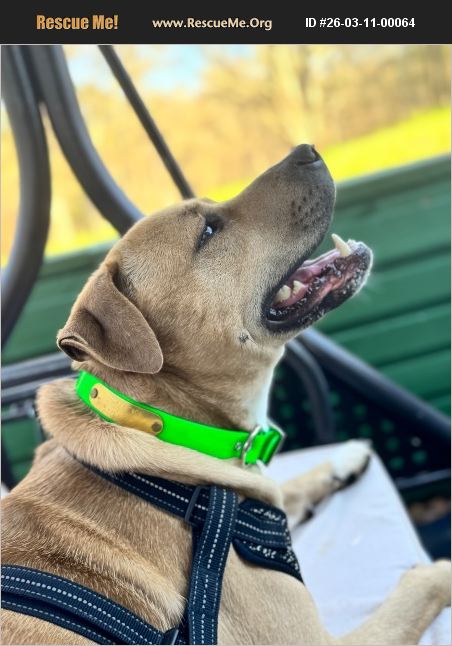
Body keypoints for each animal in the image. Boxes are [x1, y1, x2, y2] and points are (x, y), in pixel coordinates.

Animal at [2, 145, 450, 645]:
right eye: (208, 231)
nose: (306, 150)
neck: (166, 424)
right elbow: (418, 588)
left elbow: (289, 486)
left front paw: (340, 459)